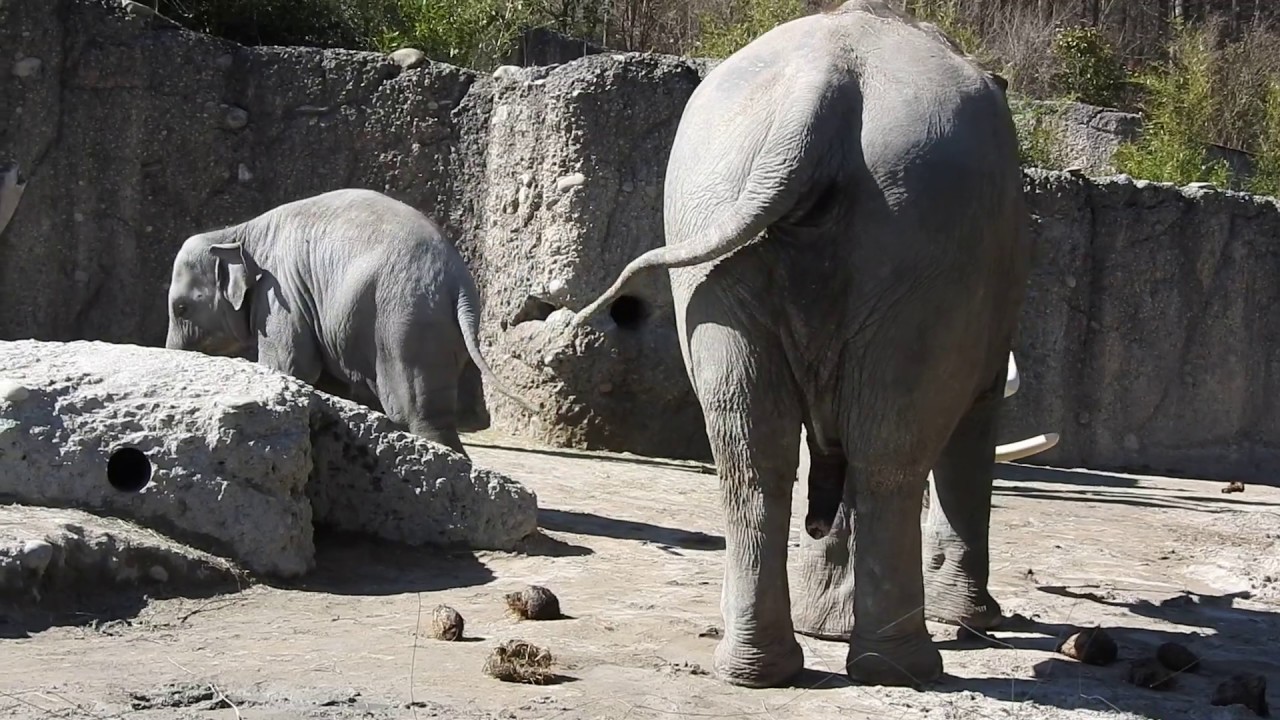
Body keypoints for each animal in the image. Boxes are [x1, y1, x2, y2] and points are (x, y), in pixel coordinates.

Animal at [165, 187, 534, 458]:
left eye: (181, 308)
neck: (238, 232)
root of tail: (459, 286)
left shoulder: (280, 293)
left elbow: (291, 364)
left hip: (405, 322)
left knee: (411, 409)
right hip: (436, 332)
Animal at [573, 0, 1031, 688]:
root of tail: (821, 91)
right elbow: (971, 420)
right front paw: (975, 621)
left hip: (719, 217)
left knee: (753, 448)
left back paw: (759, 667)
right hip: (927, 239)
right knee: (890, 450)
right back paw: (903, 668)